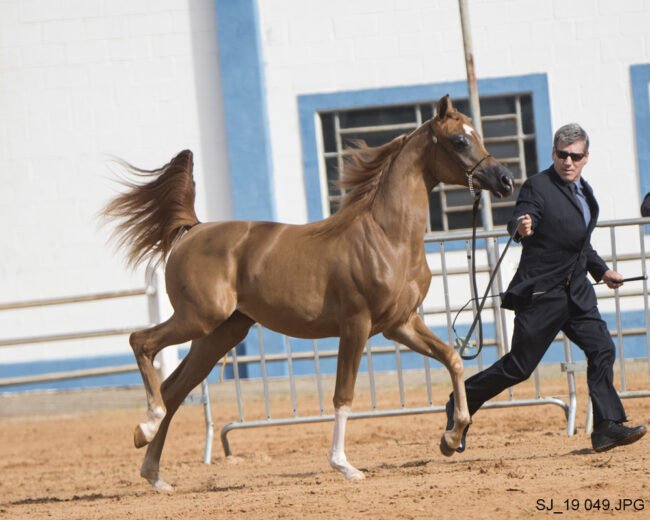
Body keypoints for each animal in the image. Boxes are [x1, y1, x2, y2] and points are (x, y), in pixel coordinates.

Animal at [102, 95, 513, 491]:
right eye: (459, 140)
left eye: (477, 134)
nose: (505, 180)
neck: (387, 238)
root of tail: (194, 229)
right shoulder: (356, 326)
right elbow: (343, 395)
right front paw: (345, 466)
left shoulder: (401, 324)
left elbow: (453, 359)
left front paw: (452, 437)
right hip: (199, 319)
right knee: (142, 343)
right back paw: (146, 427)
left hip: (219, 334)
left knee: (173, 389)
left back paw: (155, 474)